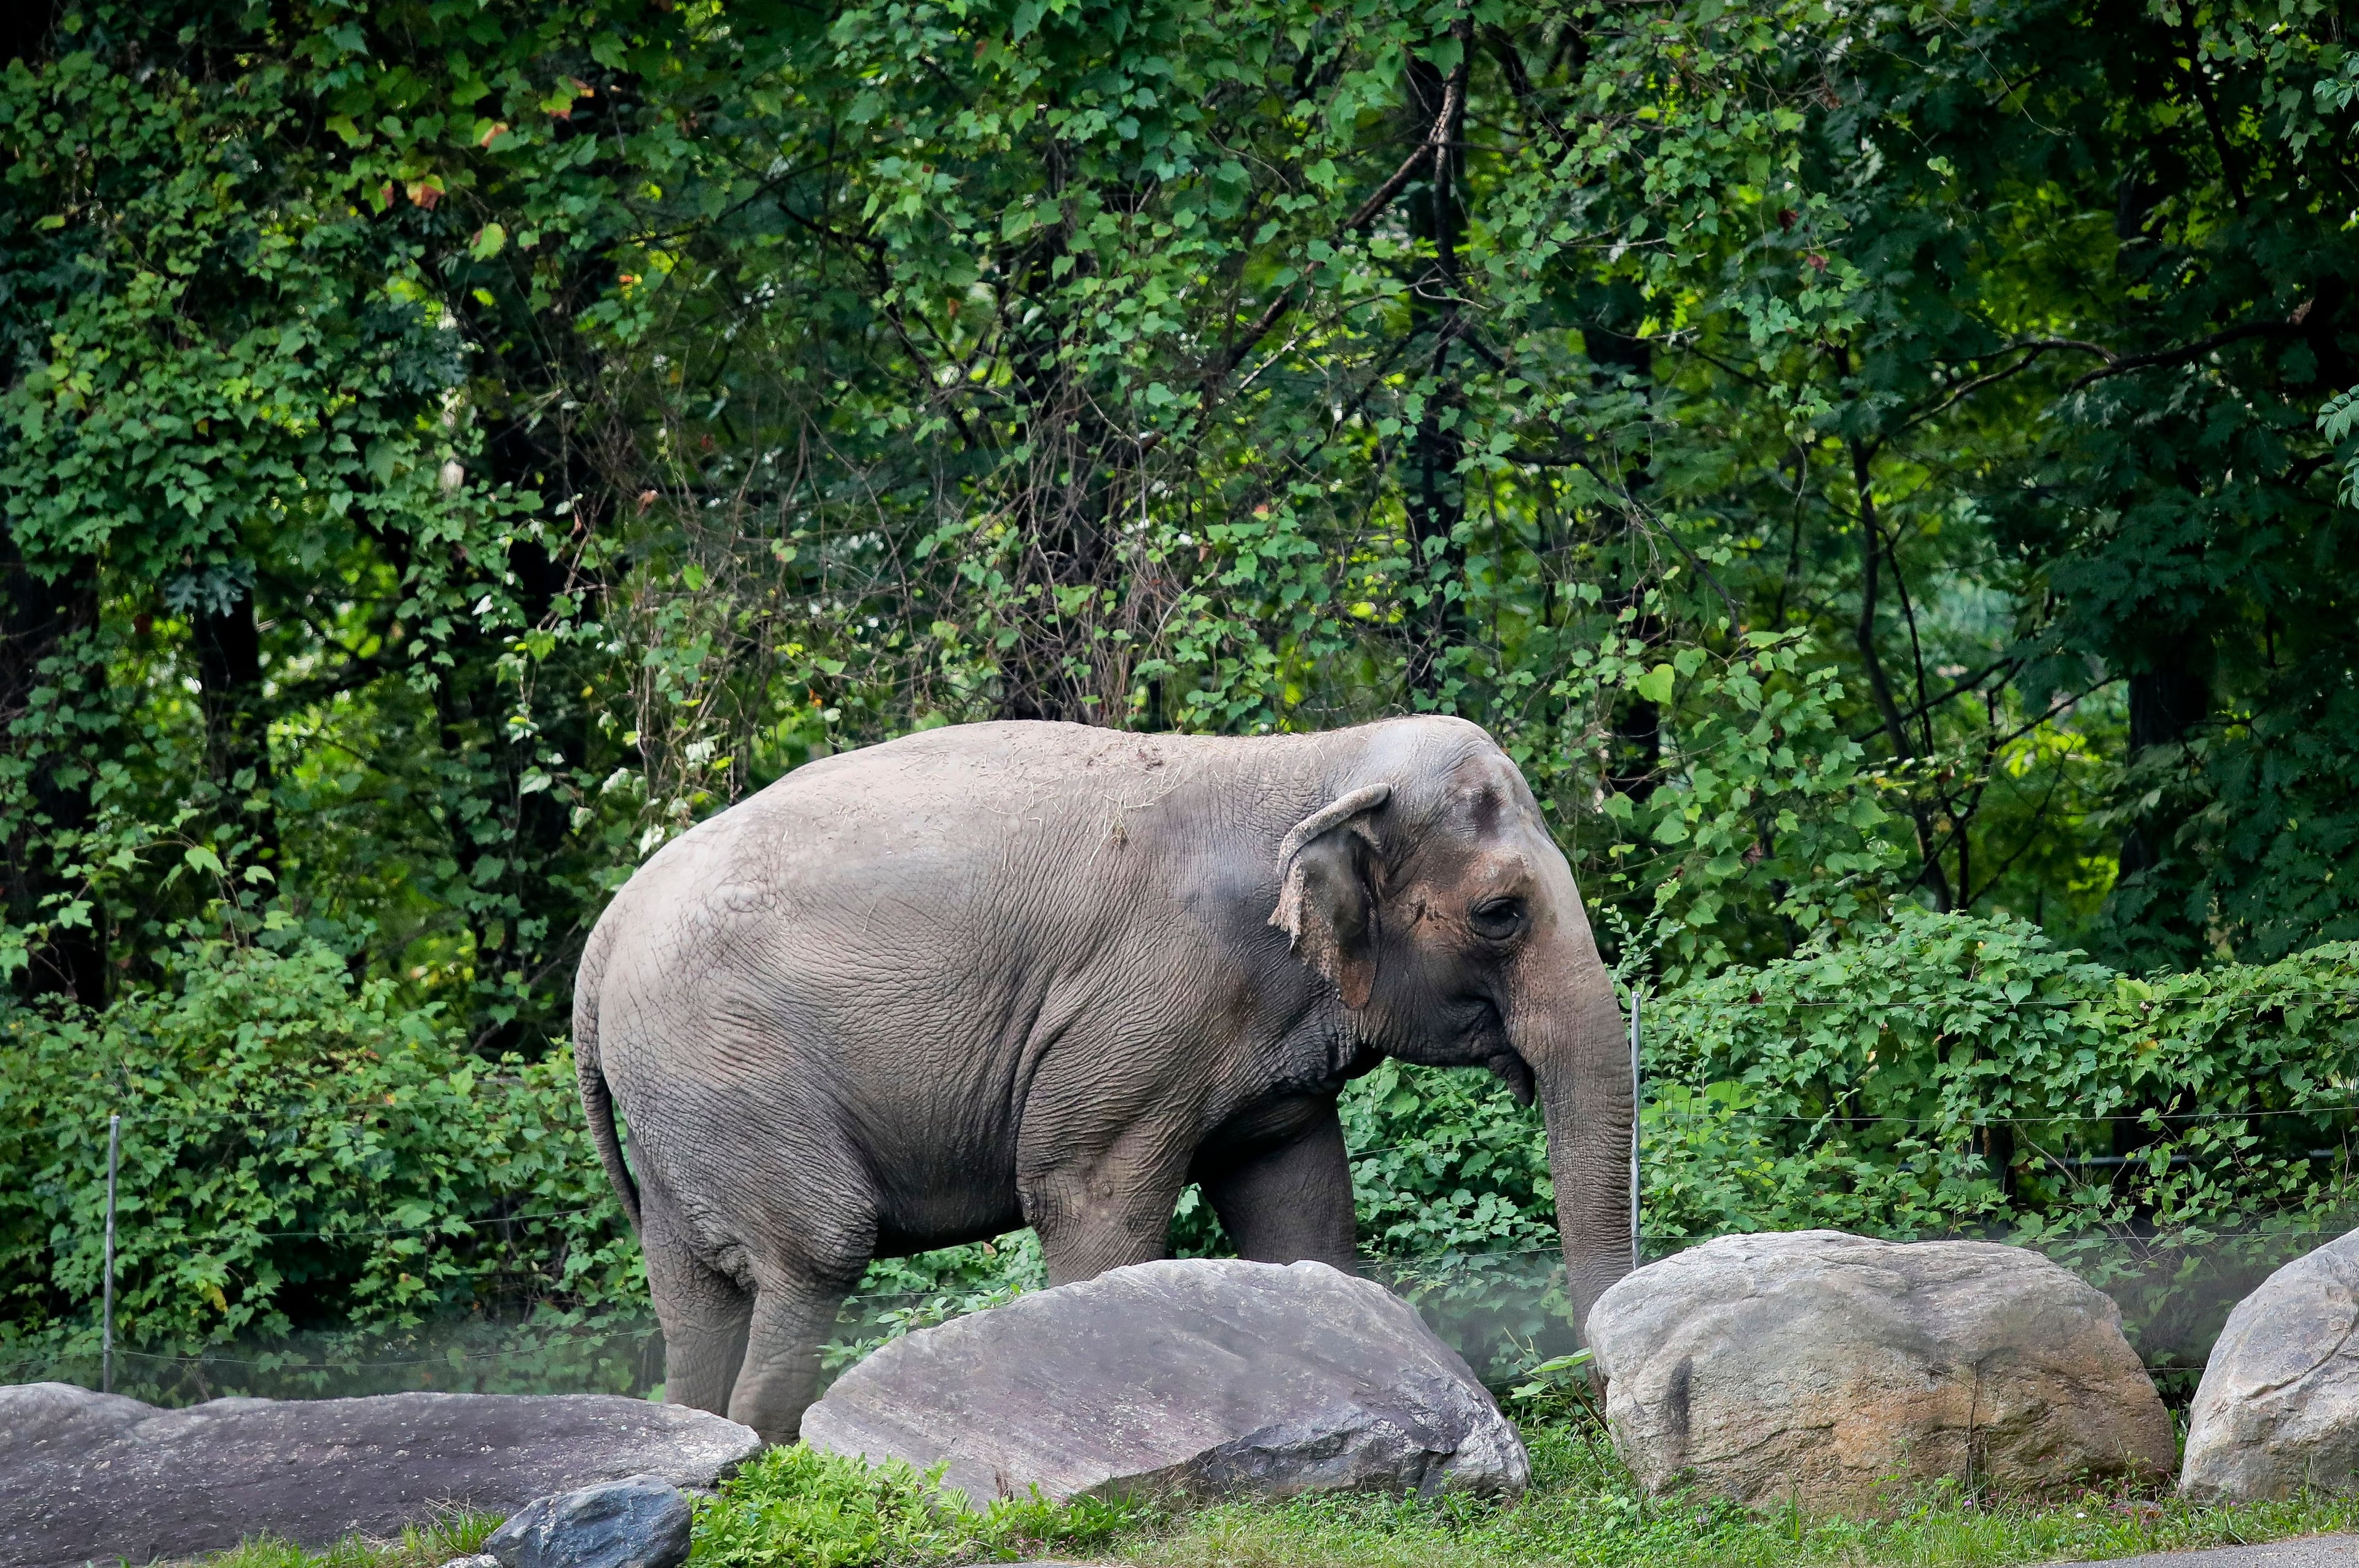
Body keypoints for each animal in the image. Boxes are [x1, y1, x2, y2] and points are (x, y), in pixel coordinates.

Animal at [574, 715, 1632, 1443]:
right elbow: (1090, 1200)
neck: (1313, 762)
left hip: (677, 1103)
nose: (1594, 1396)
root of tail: (605, 935)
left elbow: (1301, 1210)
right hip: (730, 1067)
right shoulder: (1142, 1008)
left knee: (692, 1294)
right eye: (1500, 913)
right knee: (815, 1252)